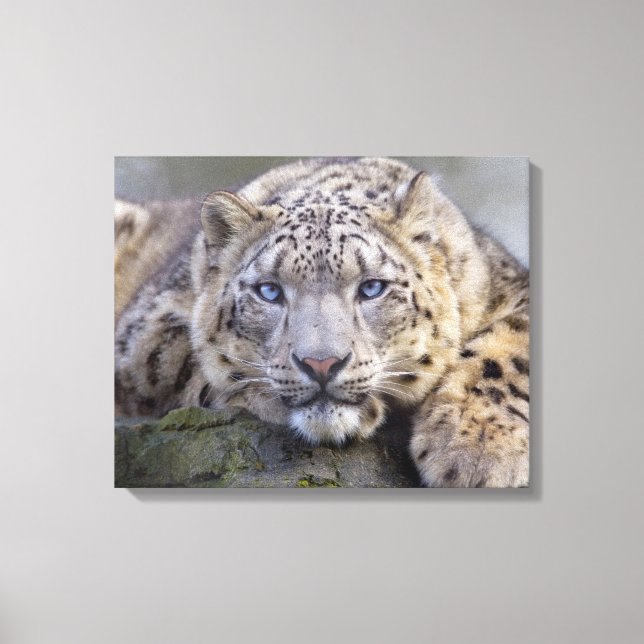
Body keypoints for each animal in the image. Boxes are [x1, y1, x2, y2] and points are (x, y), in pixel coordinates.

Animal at [115, 157, 529, 487]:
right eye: (269, 291)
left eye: (372, 287)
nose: (321, 364)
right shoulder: (147, 332)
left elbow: (509, 351)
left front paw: (476, 451)